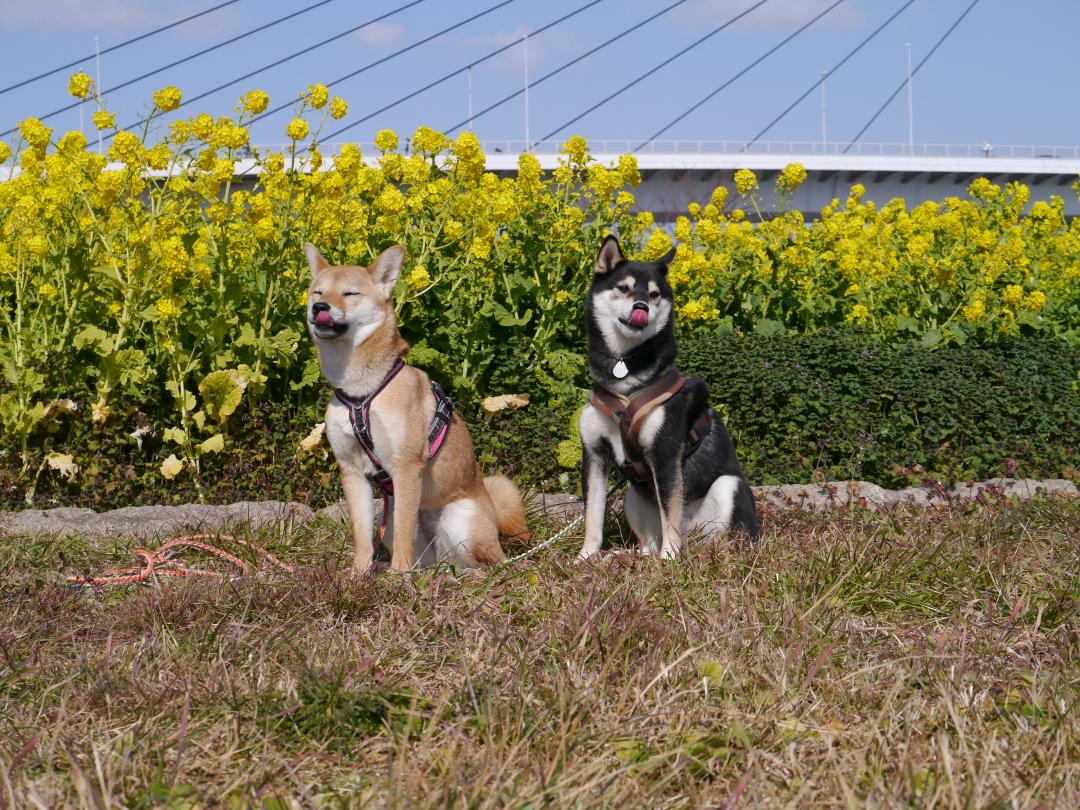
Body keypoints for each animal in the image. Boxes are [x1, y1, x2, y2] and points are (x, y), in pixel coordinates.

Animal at [304, 244, 527, 574]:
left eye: (350, 293)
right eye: (317, 291)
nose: (319, 307)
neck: (362, 392)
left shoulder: (406, 468)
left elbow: (403, 538)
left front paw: (397, 576)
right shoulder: (352, 471)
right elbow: (361, 534)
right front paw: (359, 573)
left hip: (460, 520)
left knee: (489, 563)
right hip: (396, 522)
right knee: (432, 562)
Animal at [578, 237, 764, 561]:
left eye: (654, 295)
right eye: (624, 288)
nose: (641, 307)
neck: (625, 376)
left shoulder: (665, 454)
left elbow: (671, 519)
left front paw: (670, 558)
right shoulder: (594, 453)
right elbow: (593, 517)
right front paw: (586, 557)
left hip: (729, 488)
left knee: (720, 536)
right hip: (632, 497)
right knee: (648, 542)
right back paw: (631, 555)